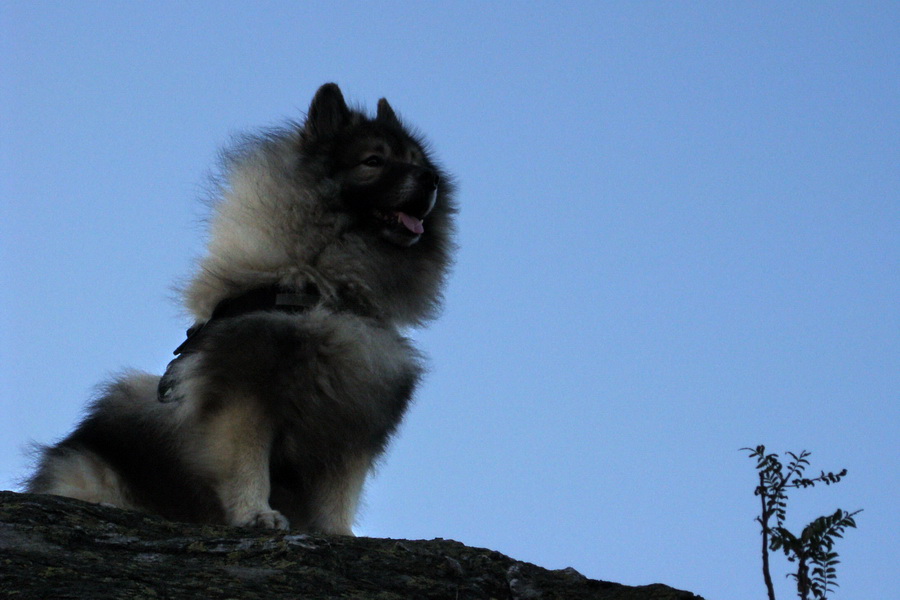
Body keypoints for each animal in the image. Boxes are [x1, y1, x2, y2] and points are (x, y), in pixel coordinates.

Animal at [27, 83, 458, 536]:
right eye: (373, 161)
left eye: (416, 161)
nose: (431, 180)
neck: (319, 290)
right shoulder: (245, 398)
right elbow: (248, 466)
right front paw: (256, 514)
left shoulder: (349, 426)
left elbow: (338, 495)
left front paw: (339, 535)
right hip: (88, 466)